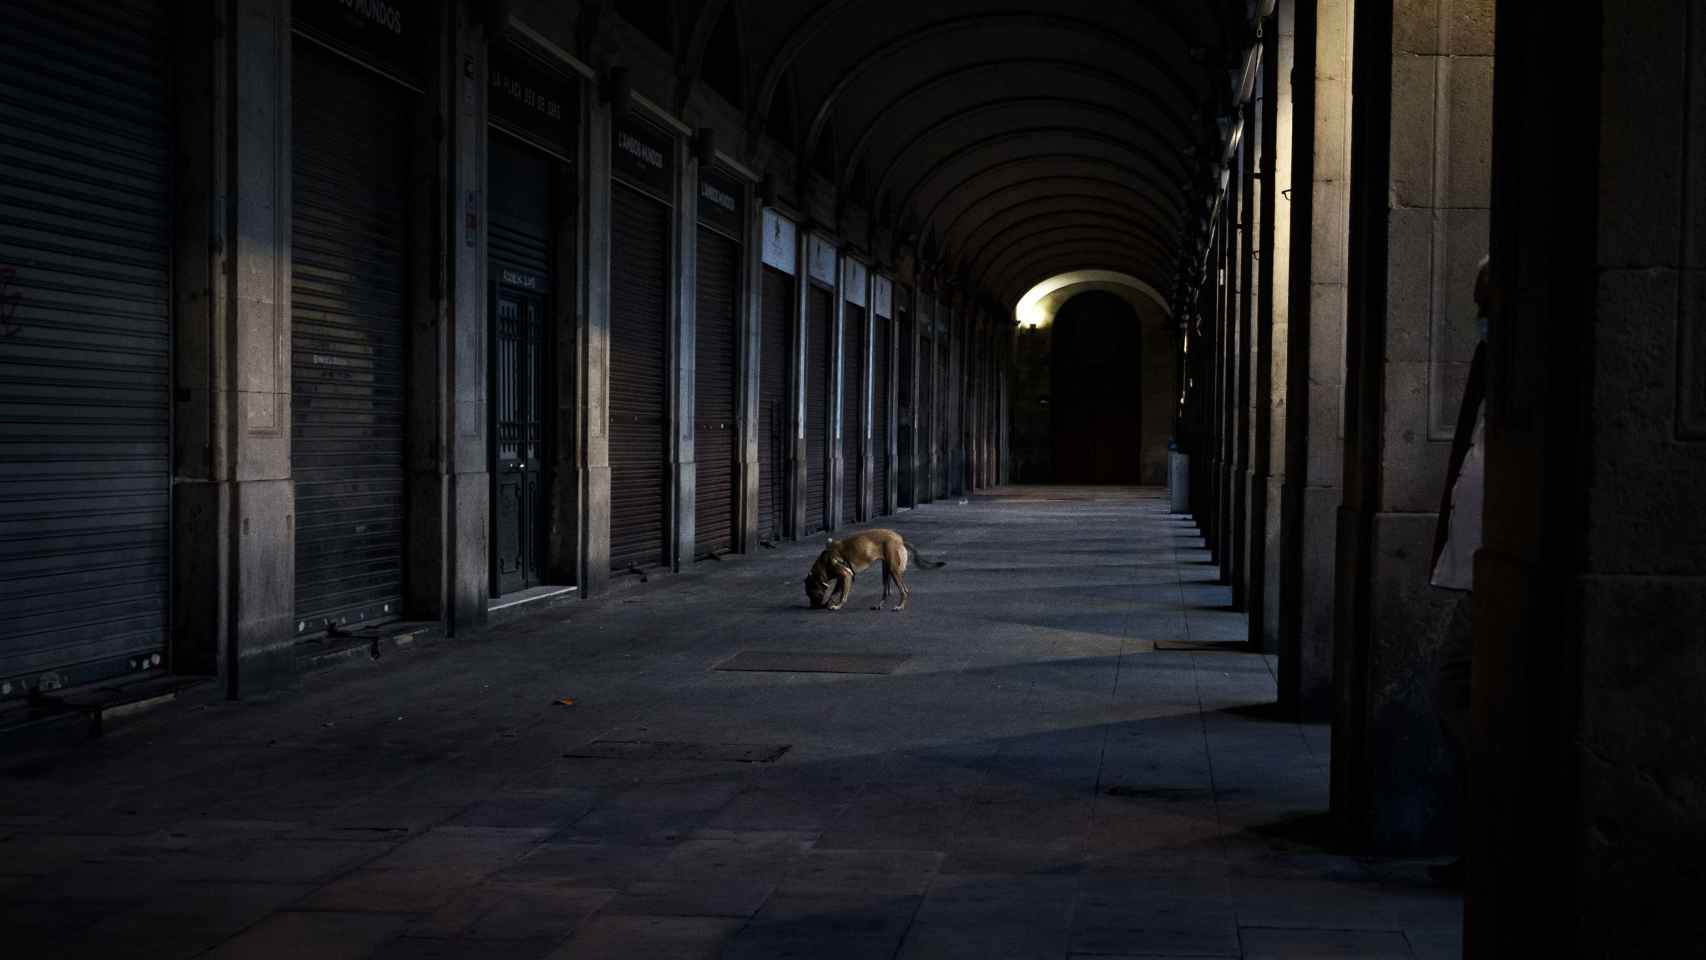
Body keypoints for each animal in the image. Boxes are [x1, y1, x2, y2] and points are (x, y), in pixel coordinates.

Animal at [801, 528, 948, 613]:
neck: (824, 562)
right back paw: (879, 605)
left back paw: (900, 607)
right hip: (886, 570)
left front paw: (837, 606)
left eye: (810, 593)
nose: (812, 607)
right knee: (886, 591)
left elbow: (843, 595)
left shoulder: (846, 575)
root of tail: (900, 540)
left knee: (904, 590)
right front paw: (829, 603)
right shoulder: (842, 577)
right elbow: (835, 592)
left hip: (893, 570)